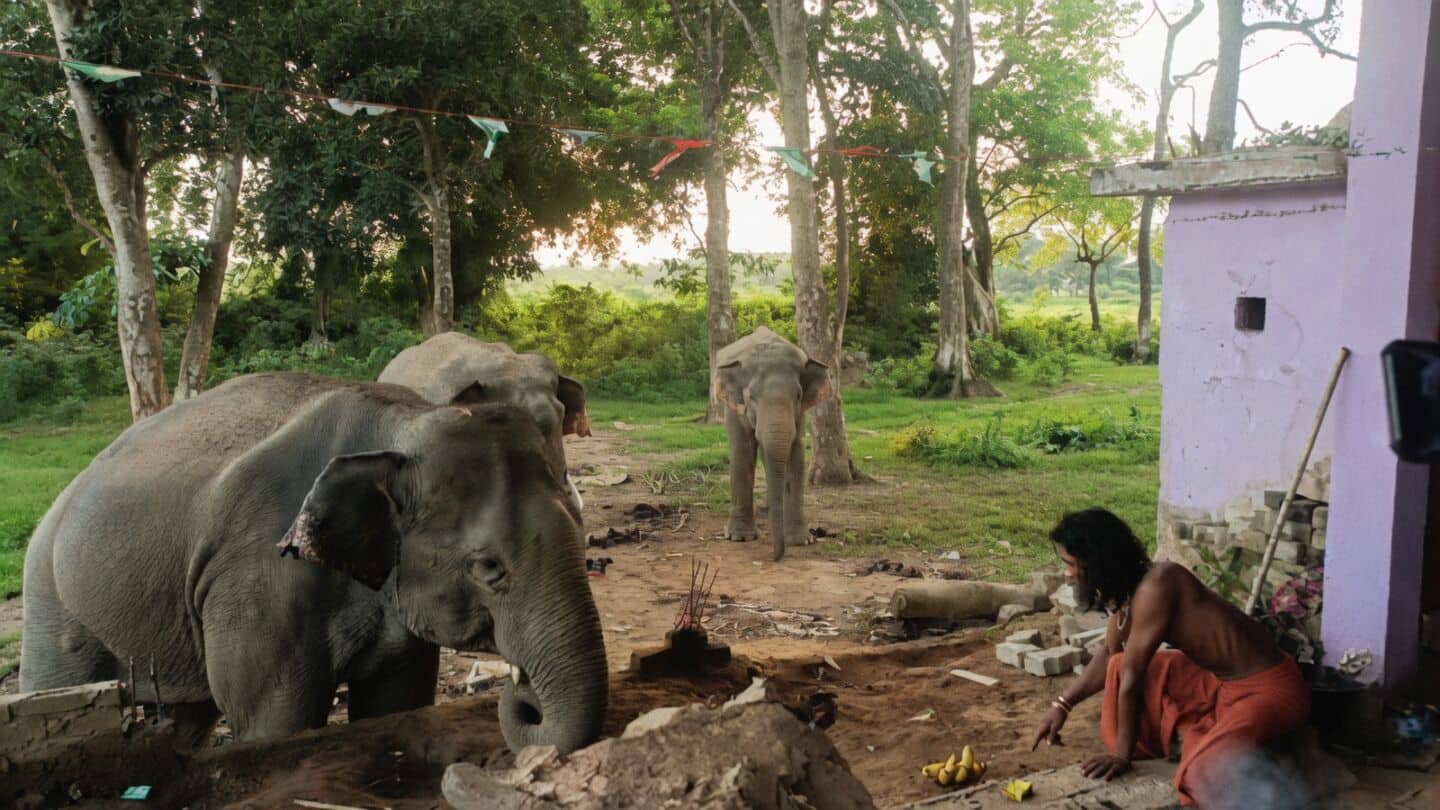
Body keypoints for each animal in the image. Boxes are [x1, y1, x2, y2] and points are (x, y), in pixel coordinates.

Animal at [21, 372, 605, 754]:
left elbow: (397, 702)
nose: (522, 693)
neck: (403, 420)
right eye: (487, 567)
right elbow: (276, 721)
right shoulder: (258, 580)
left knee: (188, 718)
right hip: (49, 594)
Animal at [714, 327, 835, 560]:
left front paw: (801, 540)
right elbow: (742, 451)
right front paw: (740, 538)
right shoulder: (736, 409)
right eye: (751, 397)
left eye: (798, 395)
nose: (775, 557)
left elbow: (795, 456)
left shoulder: (800, 414)